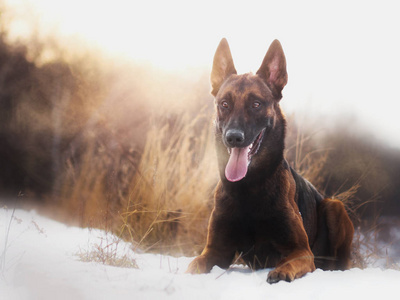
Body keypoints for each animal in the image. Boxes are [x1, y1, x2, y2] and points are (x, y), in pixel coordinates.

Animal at [186, 38, 354, 282]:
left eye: (256, 104)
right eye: (224, 104)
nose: (233, 137)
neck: (249, 188)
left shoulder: (301, 250)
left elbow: (290, 261)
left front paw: (281, 271)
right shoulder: (215, 252)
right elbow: (194, 265)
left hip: (334, 206)